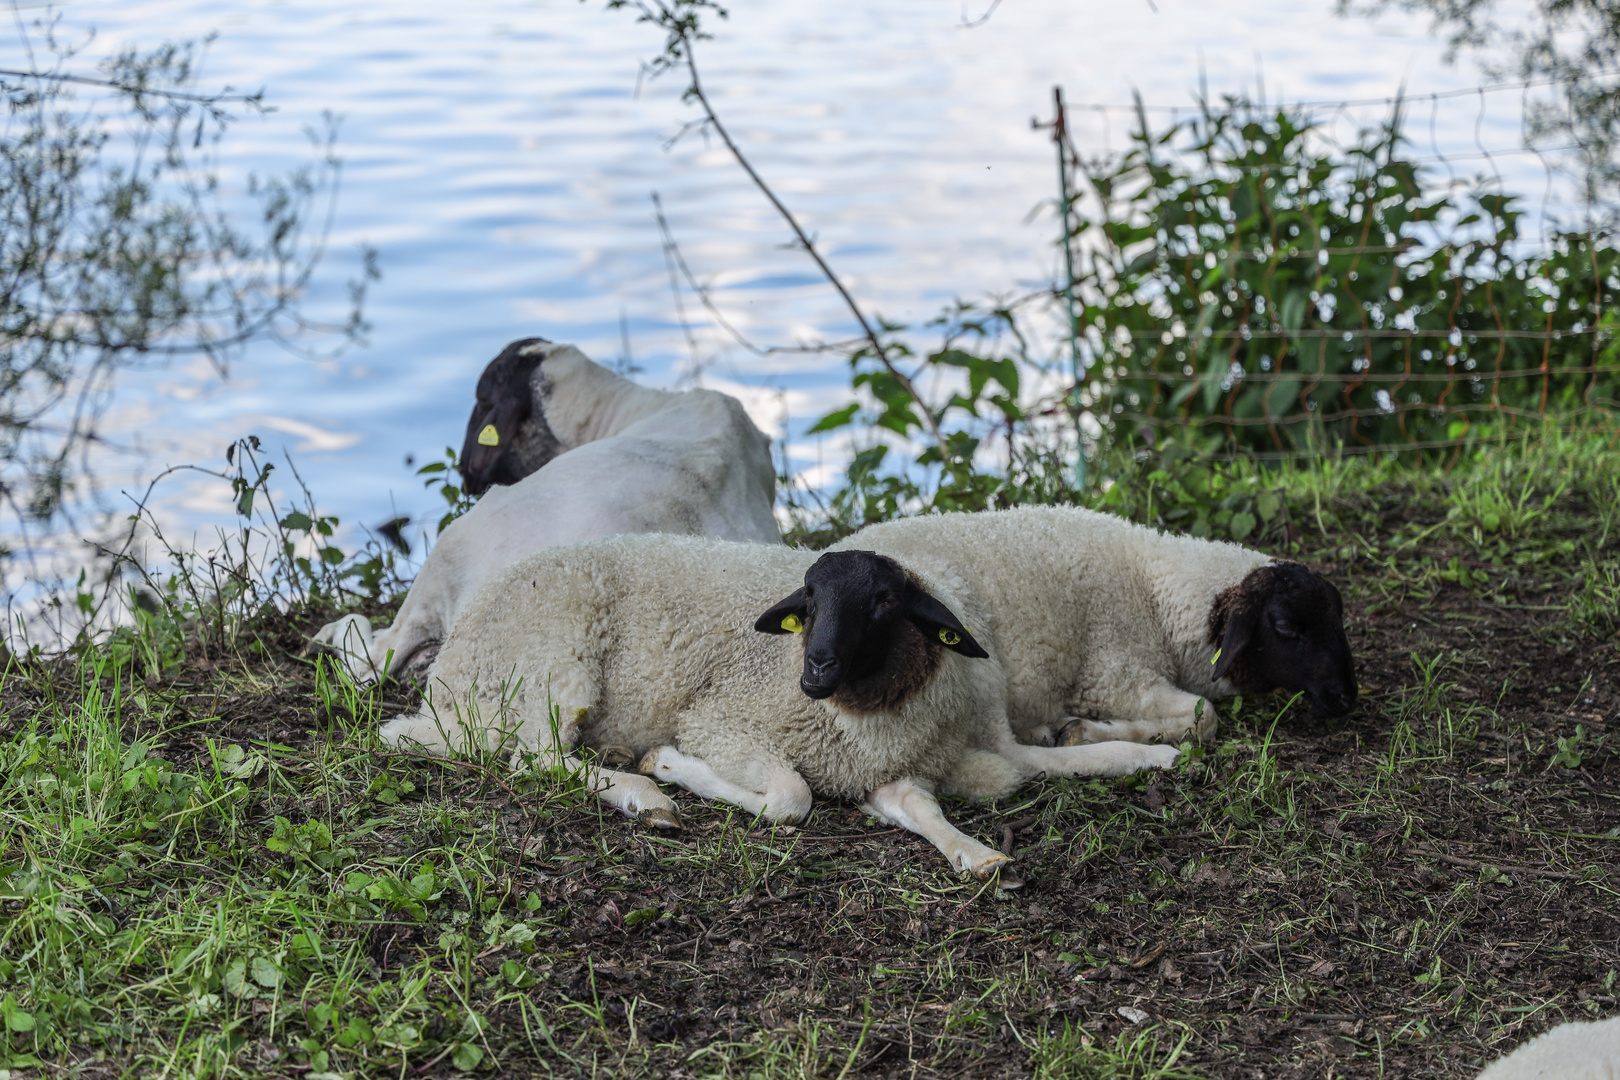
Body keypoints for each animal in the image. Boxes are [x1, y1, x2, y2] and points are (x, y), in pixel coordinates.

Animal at [379, 537, 1179, 880]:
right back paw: (643, 793)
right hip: (550, 666)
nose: (816, 667)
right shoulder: (724, 721)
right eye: (809, 599)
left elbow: (1036, 770)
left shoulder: (910, 763)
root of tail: (445, 684)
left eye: (883, 602)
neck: (870, 713)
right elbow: (791, 799)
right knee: (534, 755)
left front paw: (974, 852)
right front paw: (670, 766)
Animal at [829, 501, 1360, 748]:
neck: (1153, 591)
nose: (1346, 698)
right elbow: (1205, 717)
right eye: (1287, 627)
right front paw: (1084, 731)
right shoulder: (1111, 676)